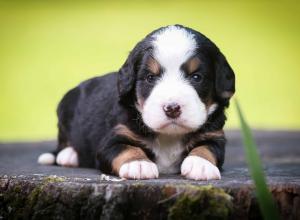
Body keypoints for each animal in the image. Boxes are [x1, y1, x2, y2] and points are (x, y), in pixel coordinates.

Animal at [37, 24, 234, 180]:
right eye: (150, 78)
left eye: (196, 77)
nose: (172, 108)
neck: (169, 136)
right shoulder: (112, 139)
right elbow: (125, 148)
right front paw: (138, 164)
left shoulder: (215, 135)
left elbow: (207, 148)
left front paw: (201, 165)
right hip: (65, 108)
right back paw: (69, 155)